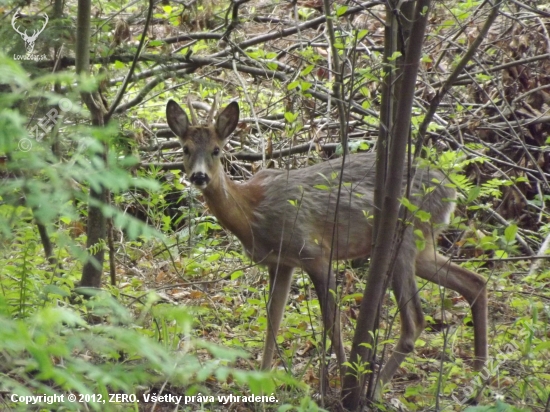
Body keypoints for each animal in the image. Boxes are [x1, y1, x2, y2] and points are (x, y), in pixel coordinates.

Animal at [166, 99, 490, 396]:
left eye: (216, 150)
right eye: (185, 149)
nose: (199, 176)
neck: (252, 210)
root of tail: (451, 188)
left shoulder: (314, 253)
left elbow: (332, 322)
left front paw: (340, 382)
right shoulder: (281, 263)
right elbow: (273, 320)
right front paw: (261, 380)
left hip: (404, 237)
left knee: (415, 322)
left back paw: (373, 390)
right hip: (423, 246)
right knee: (475, 281)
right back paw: (477, 377)